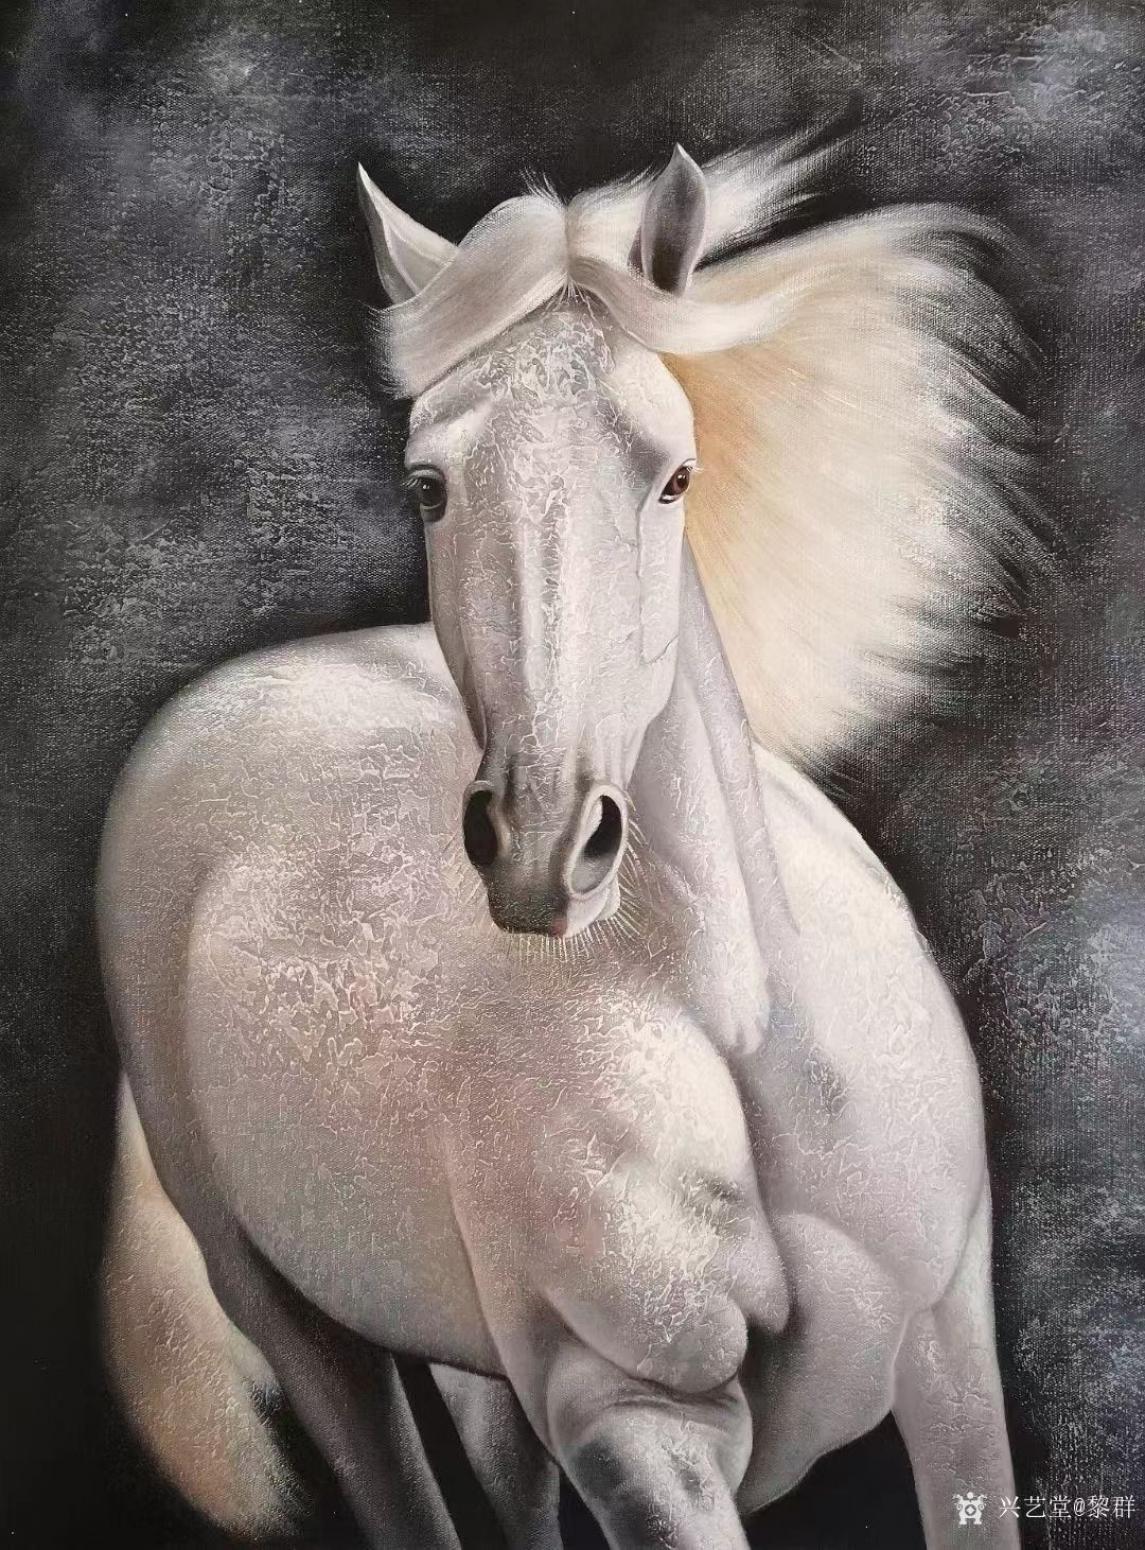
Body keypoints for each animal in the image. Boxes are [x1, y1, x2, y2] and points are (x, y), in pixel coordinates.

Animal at [99, 136, 1029, 1549]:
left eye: (673, 473)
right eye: (428, 484)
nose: (542, 843)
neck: (740, 1043)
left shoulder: (953, 1359)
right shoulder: (634, 1427)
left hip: (479, 1362)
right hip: (295, 1315)